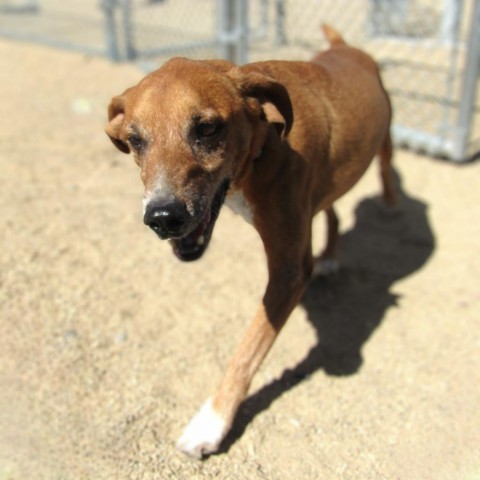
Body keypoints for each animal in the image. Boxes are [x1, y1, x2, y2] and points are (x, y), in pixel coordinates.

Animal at [105, 25, 394, 458]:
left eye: (207, 128)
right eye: (136, 140)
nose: (162, 217)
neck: (265, 142)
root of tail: (345, 47)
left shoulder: (289, 271)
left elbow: (245, 352)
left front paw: (212, 421)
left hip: (386, 138)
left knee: (387, 168)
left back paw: (392, 204)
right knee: (333, 210)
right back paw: (330, 256)